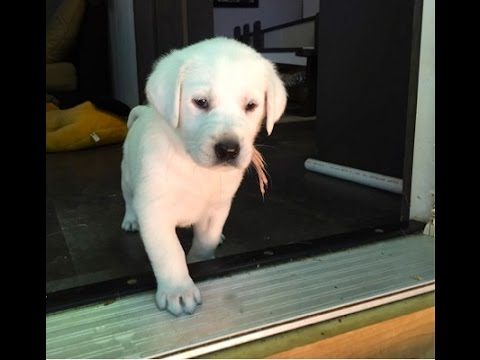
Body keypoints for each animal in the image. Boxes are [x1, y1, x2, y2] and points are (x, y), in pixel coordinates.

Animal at [122, 37, 286, 316]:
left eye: (251, 106)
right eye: (200, 102)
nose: (229, 149)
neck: (194, 165)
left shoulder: (218, 208)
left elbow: (205, 241)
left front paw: (199, 260)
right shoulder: (154, 211)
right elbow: (169, 251)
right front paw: (177, 289)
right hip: (127, 177)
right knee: (128, 199)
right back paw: (130, 220)